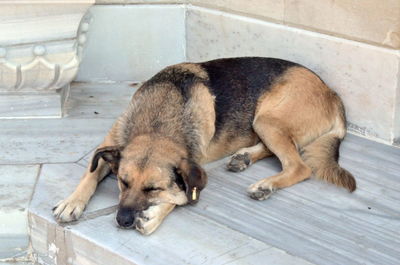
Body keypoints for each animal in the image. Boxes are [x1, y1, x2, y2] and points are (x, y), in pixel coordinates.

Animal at [53, 57, 356, 233]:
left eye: (153, 189)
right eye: (123, 182)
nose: (123, 221)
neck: (158, 123)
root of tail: (333, 94)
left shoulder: (192, 167)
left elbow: (181, 195)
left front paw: (154, 216)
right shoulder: (108, 145)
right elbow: (90, 173)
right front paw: (72, 201)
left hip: (267, 120)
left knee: (300, 166)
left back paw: (265, 185)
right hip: (264, 123)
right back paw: (244, 158)